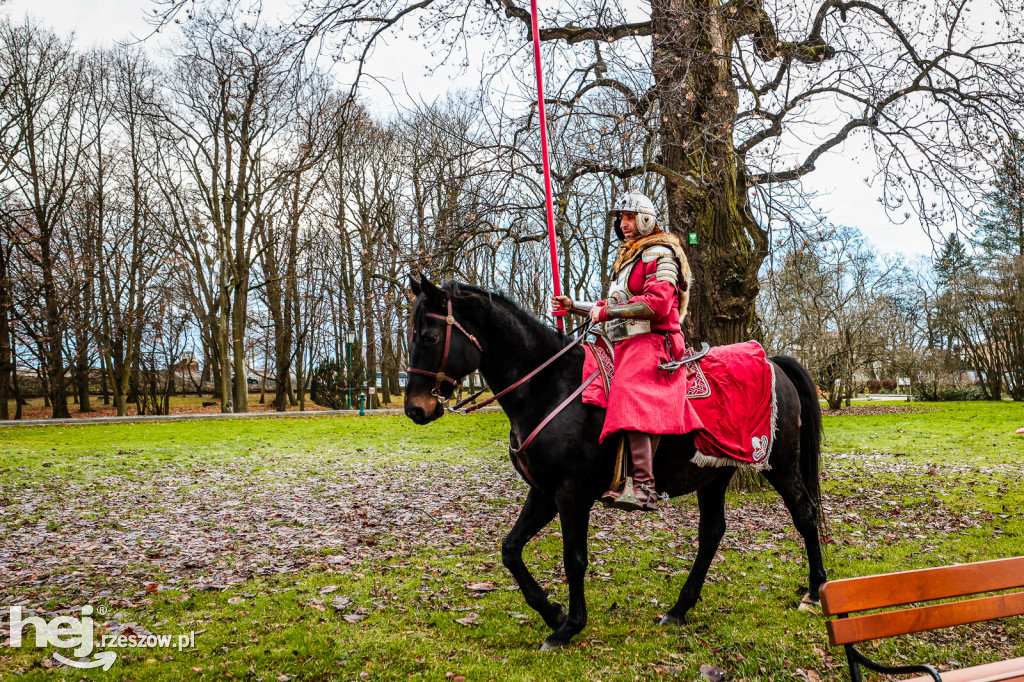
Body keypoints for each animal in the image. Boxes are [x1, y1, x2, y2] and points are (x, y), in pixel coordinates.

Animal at [401, 276, 823, 647]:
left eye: (430, 336)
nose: (415, 409)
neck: (550, 385)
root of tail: (772, 361)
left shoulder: (572, 494)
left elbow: (573, 558)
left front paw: (569, 627)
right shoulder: (544, 493)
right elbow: (510, 549)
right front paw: (552, 612)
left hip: (780, 464)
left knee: (804, 514)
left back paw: (816, 591)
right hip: (713, 472)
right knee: (712, 533)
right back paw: (678, 609)